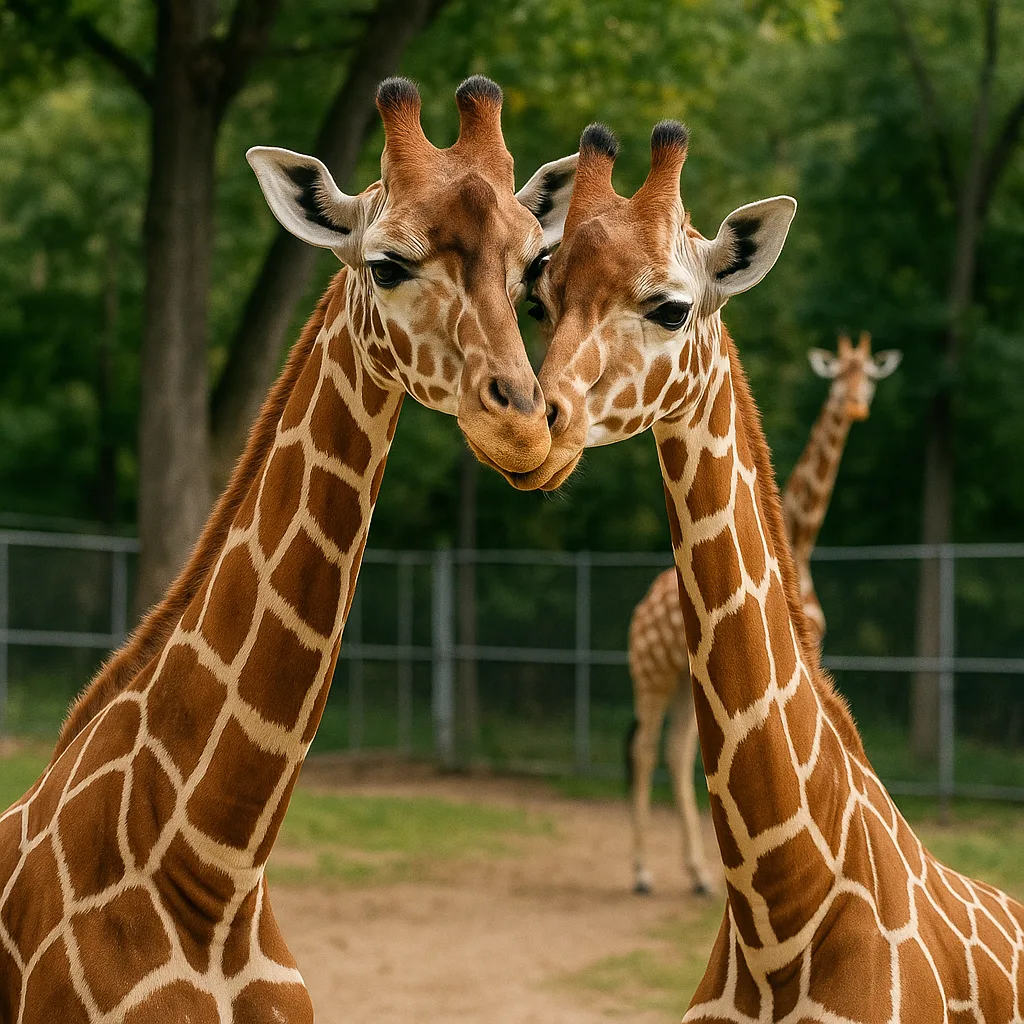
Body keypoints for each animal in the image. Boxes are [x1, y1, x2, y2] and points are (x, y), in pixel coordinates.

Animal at [627, 332, 902, 896]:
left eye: (868, 375)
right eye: (837, 375)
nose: (856, 405)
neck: (801, 536)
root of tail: (639, 614)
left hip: (685, 684)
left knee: (675, 753)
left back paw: (699, 875)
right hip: (651, 673)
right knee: (643, 751)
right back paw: (642, 872)